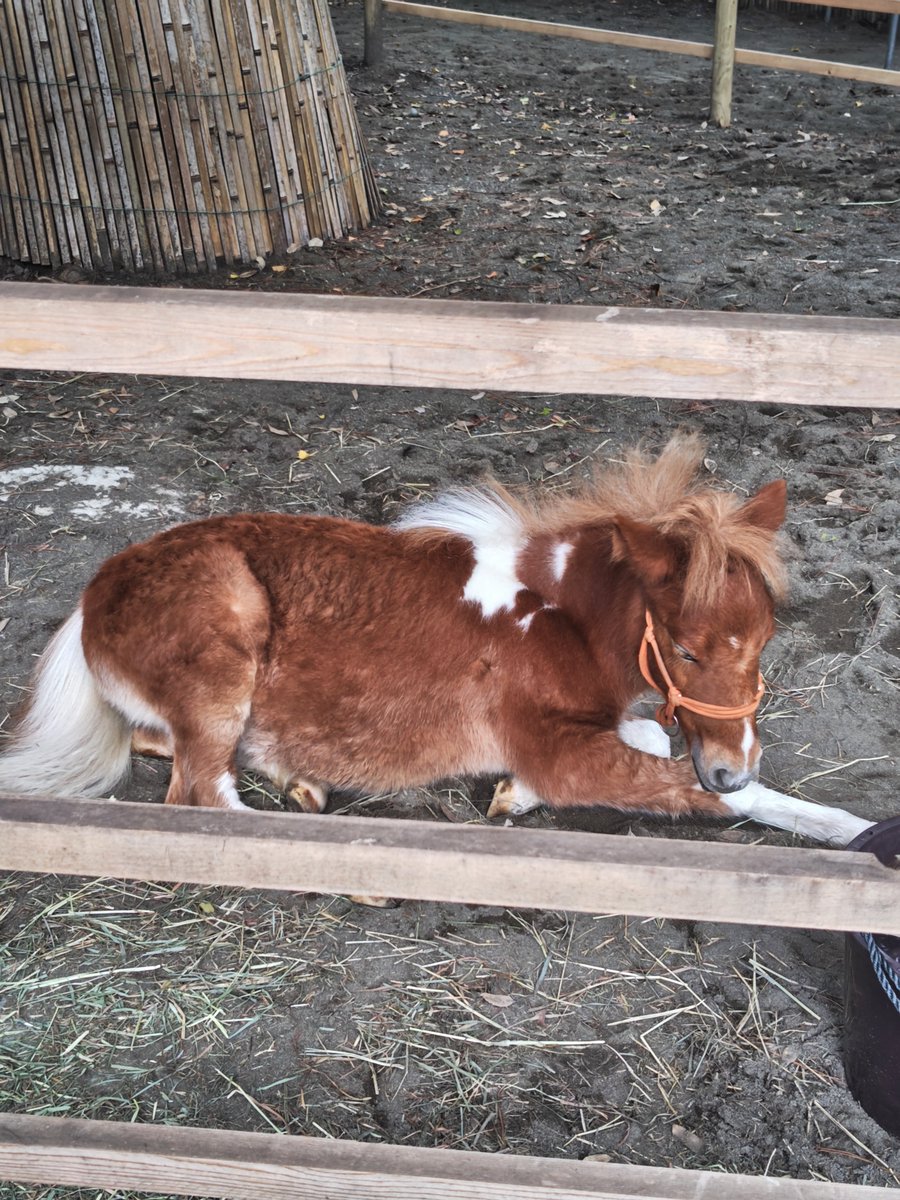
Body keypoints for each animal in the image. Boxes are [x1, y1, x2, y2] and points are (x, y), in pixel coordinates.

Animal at [0, 434, 871, 846]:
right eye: (687, 648)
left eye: (765, 641)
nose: (731, 763)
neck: (558, 615)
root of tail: (93, 592)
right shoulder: (562, 750)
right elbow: (698, 789)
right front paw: (857, 833)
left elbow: (657, 740)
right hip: (223, 642)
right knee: (199, 792)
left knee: (155, 740)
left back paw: (298, 776)